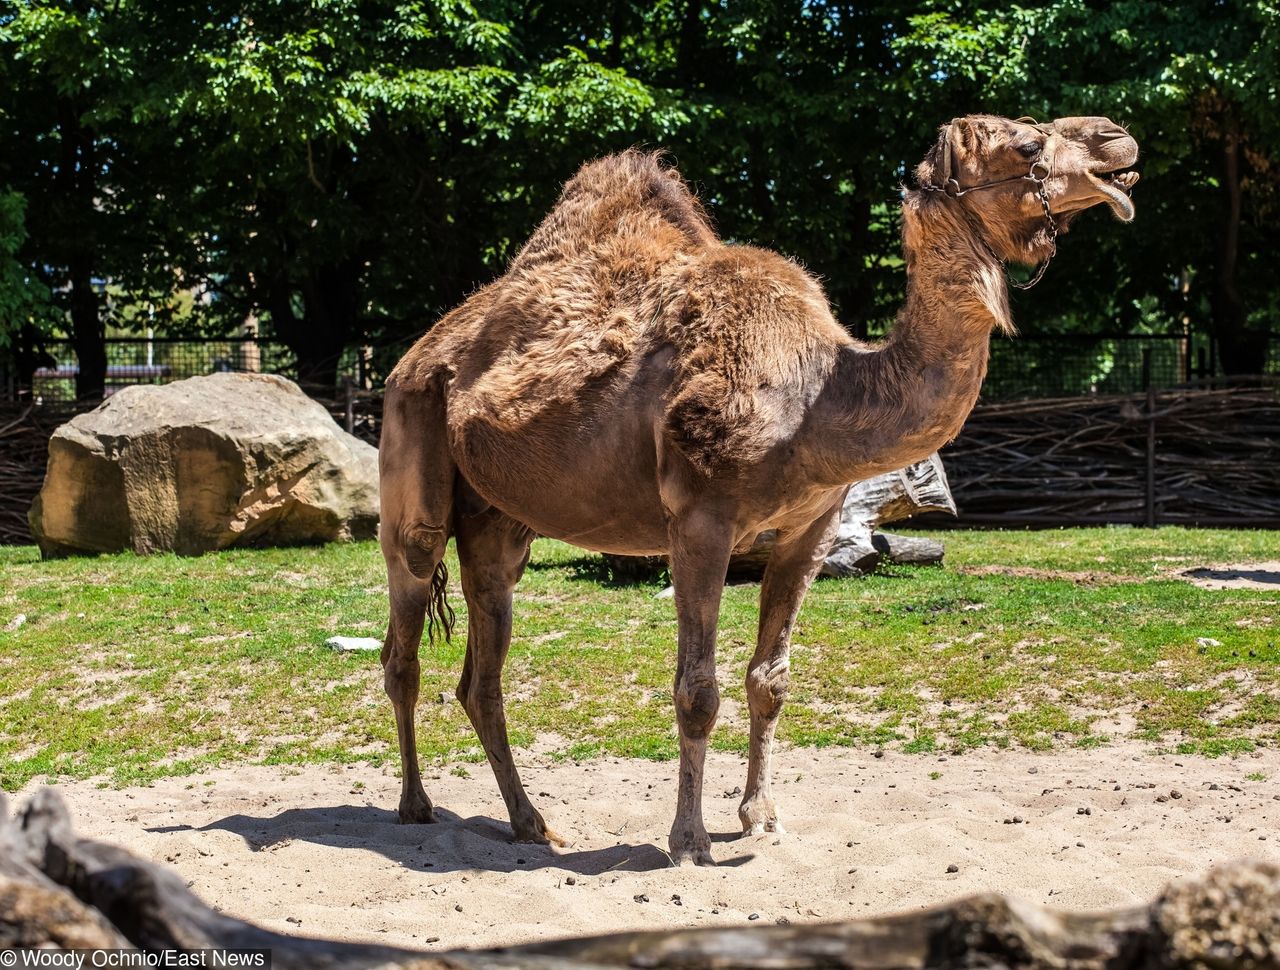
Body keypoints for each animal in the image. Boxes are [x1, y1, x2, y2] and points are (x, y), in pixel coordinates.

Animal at [376, 111, 1141, 865]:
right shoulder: (699, 521)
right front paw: (688, 842)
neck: (822, 394)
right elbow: (697, 691)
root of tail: (415, 356)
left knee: (482, 671)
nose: (1117, 140)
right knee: (405, 630)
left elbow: (769, 681)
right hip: (412, 451)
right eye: (1029, 143)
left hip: (498, 522)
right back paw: (415, 807)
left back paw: (532, 823)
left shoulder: (811, 527)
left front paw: (761, 819)